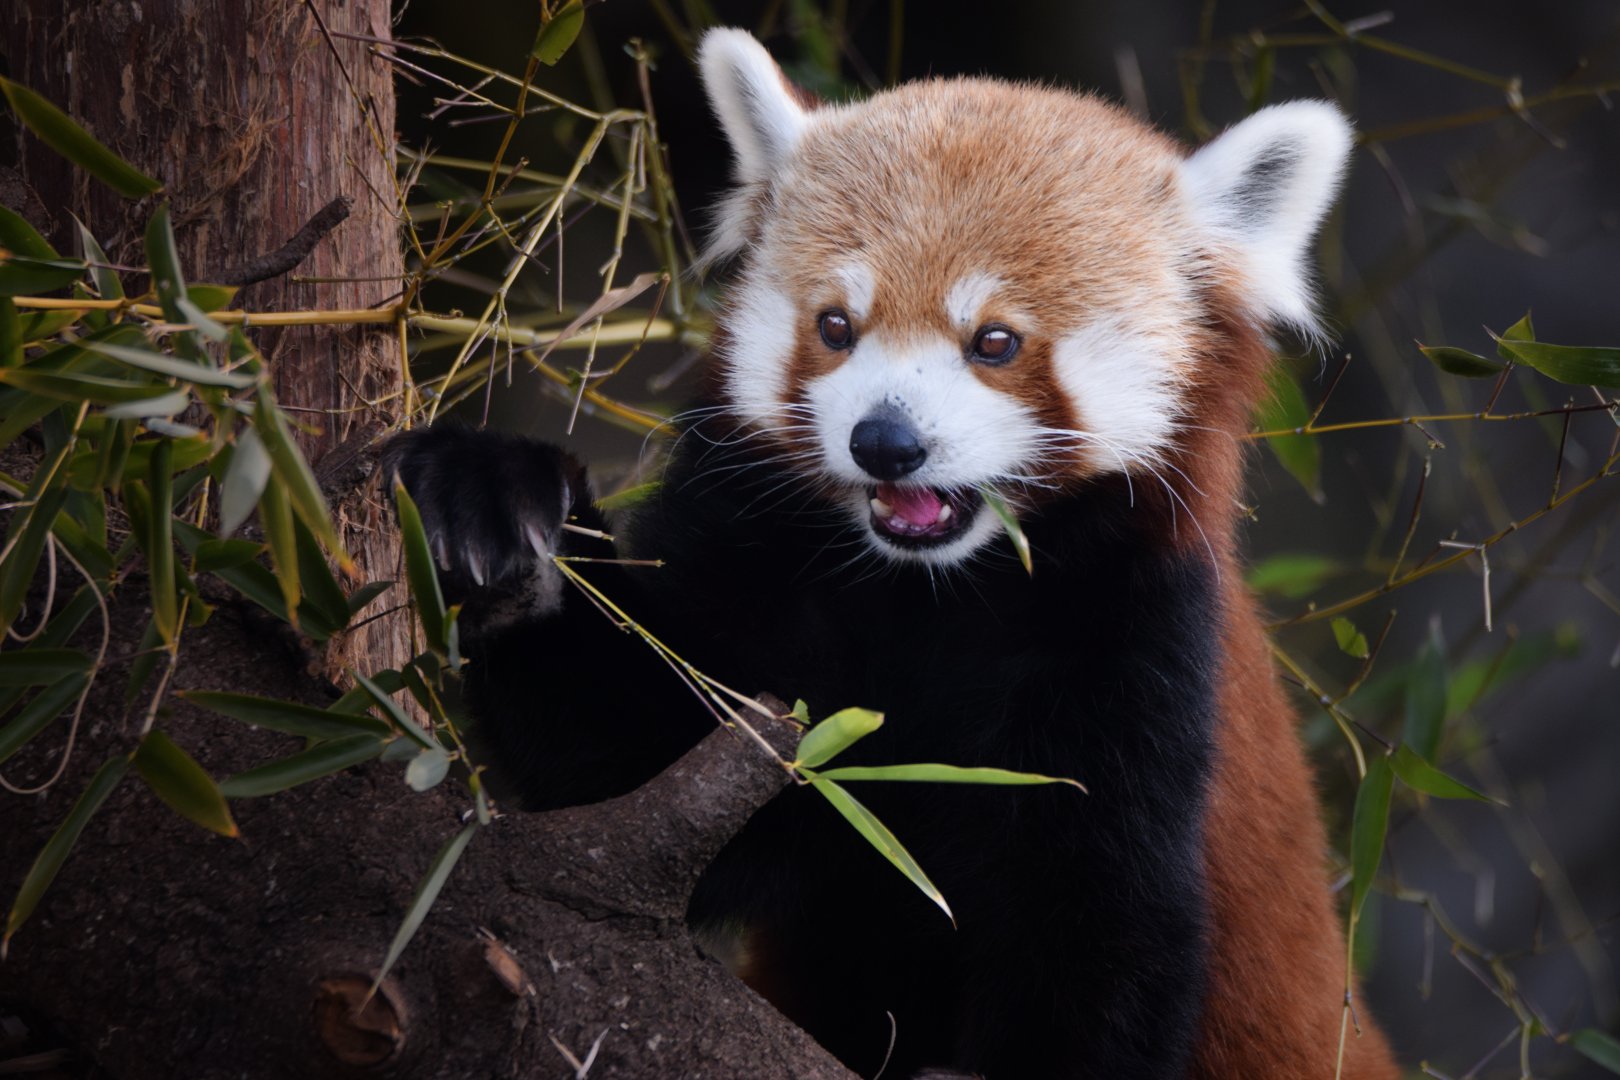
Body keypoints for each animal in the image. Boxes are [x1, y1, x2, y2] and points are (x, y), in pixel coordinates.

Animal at [386, 28, 1401, 1080]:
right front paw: (497, 515)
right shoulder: (755, 582)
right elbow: (620, 754)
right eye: (837, 326)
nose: (885, 441)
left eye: (994, 342)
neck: (927, 595)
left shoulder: (1138, 645)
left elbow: (1106, 936)